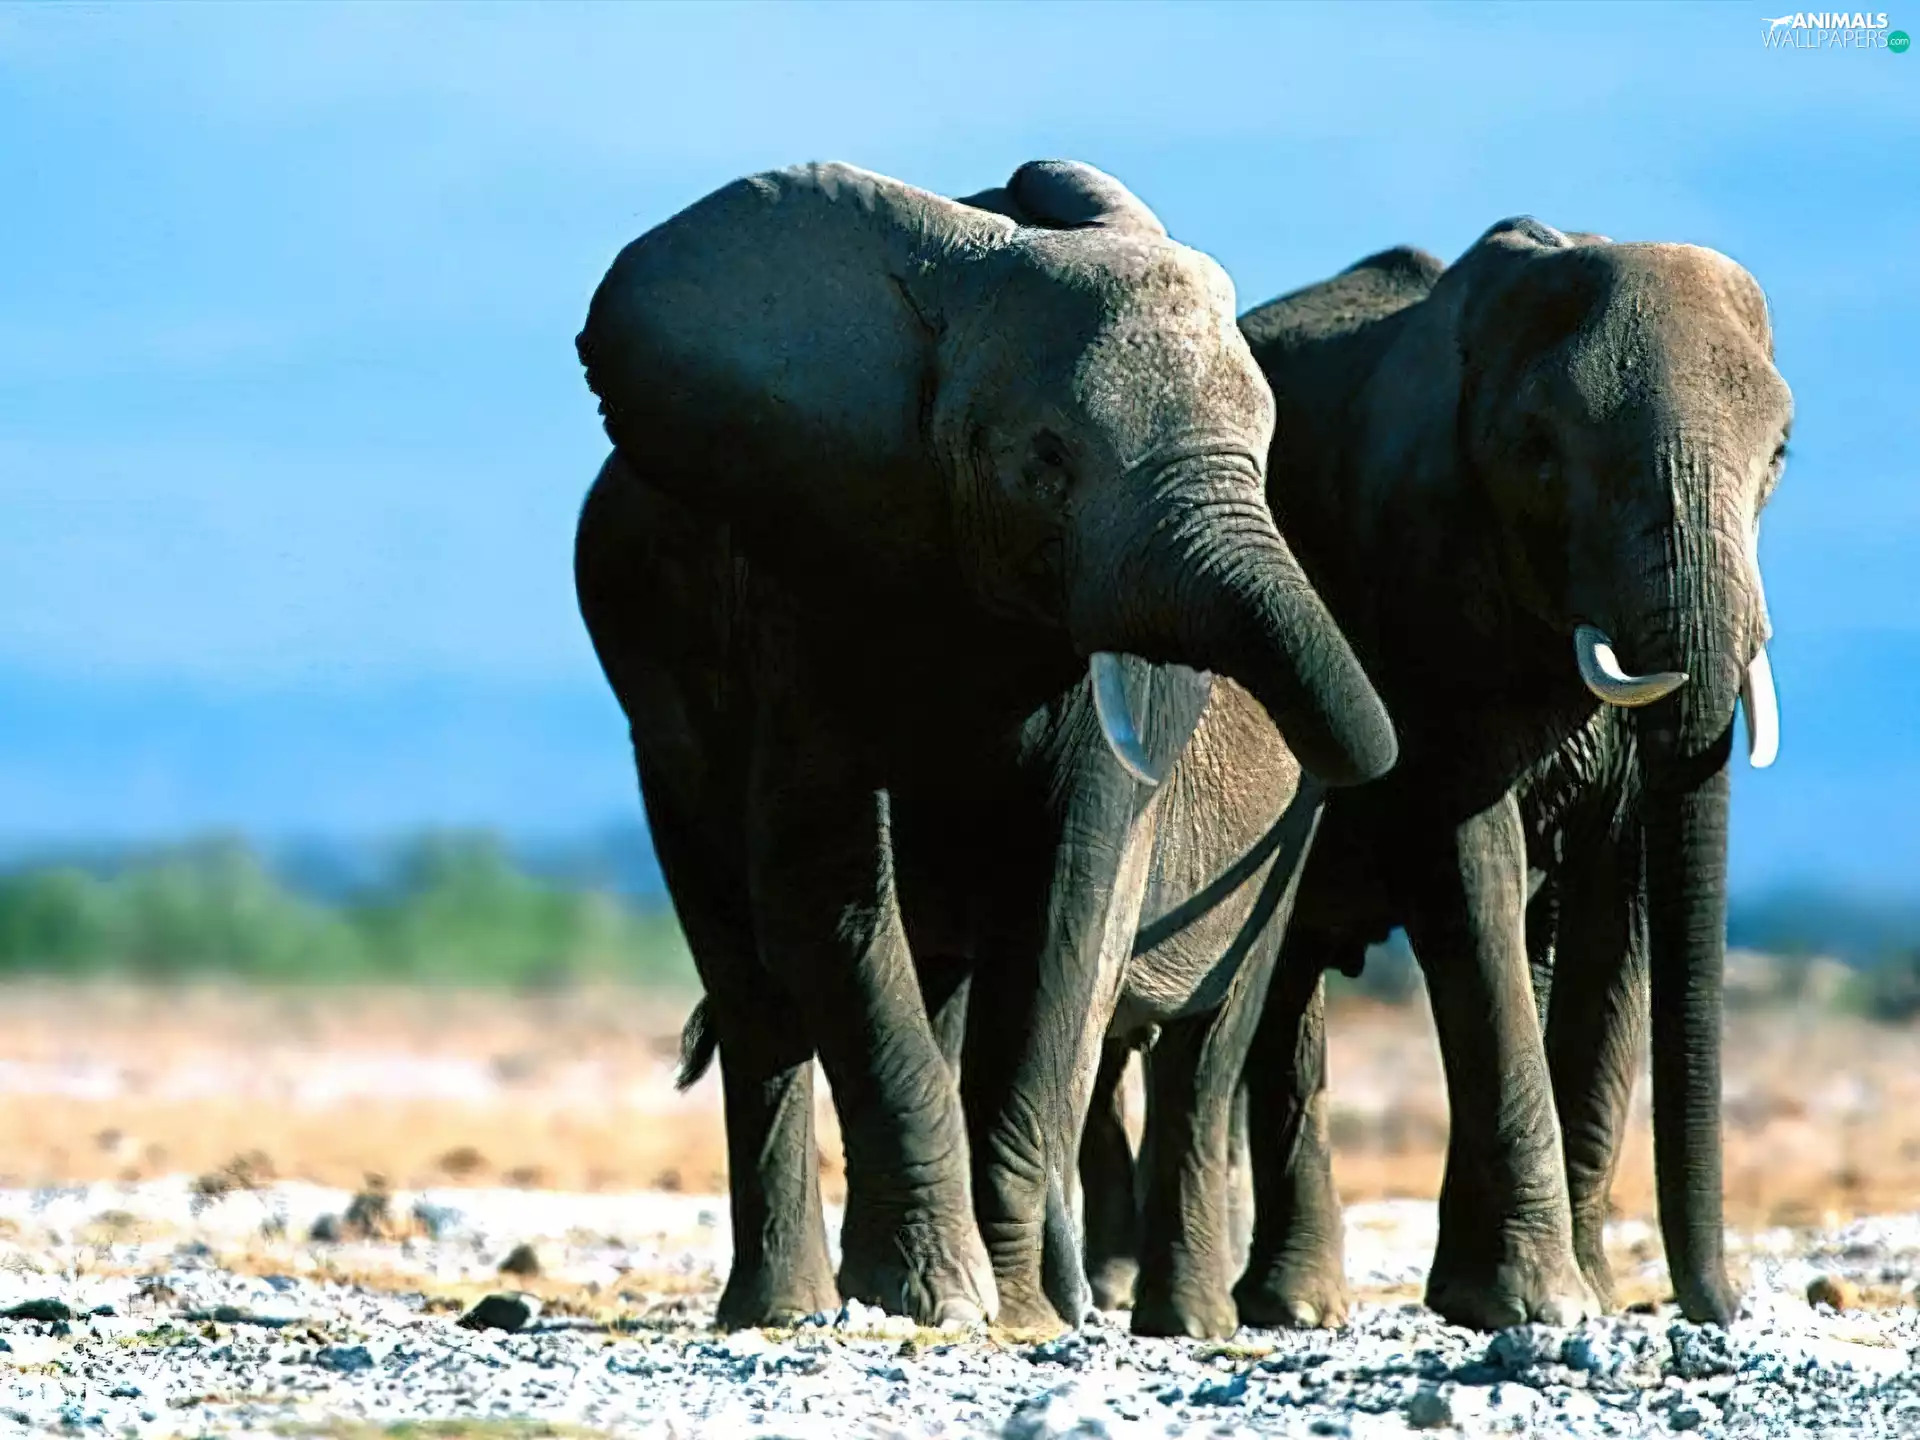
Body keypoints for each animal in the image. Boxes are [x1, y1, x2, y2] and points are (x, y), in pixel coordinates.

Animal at [572, 159, 1395, 1331]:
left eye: (1269, 451)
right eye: (1045, 461)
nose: (1374, 760)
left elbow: (1065, 910)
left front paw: (1013, 1311)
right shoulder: (797, 580)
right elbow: (824, 897)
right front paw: (936, 1303)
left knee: (1203, 1047)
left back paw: (1179, 1321)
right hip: (656, 723)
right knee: (754, 987)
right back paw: (779, 1313)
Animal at [1081, 220, 1789, 1331]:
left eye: (1780, 456)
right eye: (1541, 454)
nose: (1711, 1308)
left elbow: (1619, 892)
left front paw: (1552, 1298)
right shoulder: (1420, 585)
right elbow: (1462, 856)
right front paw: (1539, 1306)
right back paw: (1293, 1307)